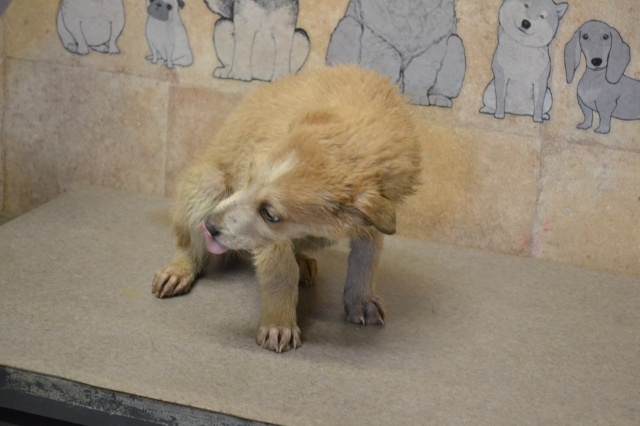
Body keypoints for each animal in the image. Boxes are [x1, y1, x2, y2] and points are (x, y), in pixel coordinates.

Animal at [152, 66, 422, 353]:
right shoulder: (271, 241)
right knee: (188, 246)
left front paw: (361, 301)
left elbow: (367, 259)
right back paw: (177, 271)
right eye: (249, 176)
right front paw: (278, 324)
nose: (209, 225)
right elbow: (281, 271)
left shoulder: (374, 220)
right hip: (208, 185)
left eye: (270, 214)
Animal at [326, 0, 466, 108]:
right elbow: (386, 70)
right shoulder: (380, 41)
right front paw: (383, 96)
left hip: (456, 44)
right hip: (348, 25)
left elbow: (420, 76)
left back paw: (438, 99)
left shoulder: (432, 47)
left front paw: (416, 97)